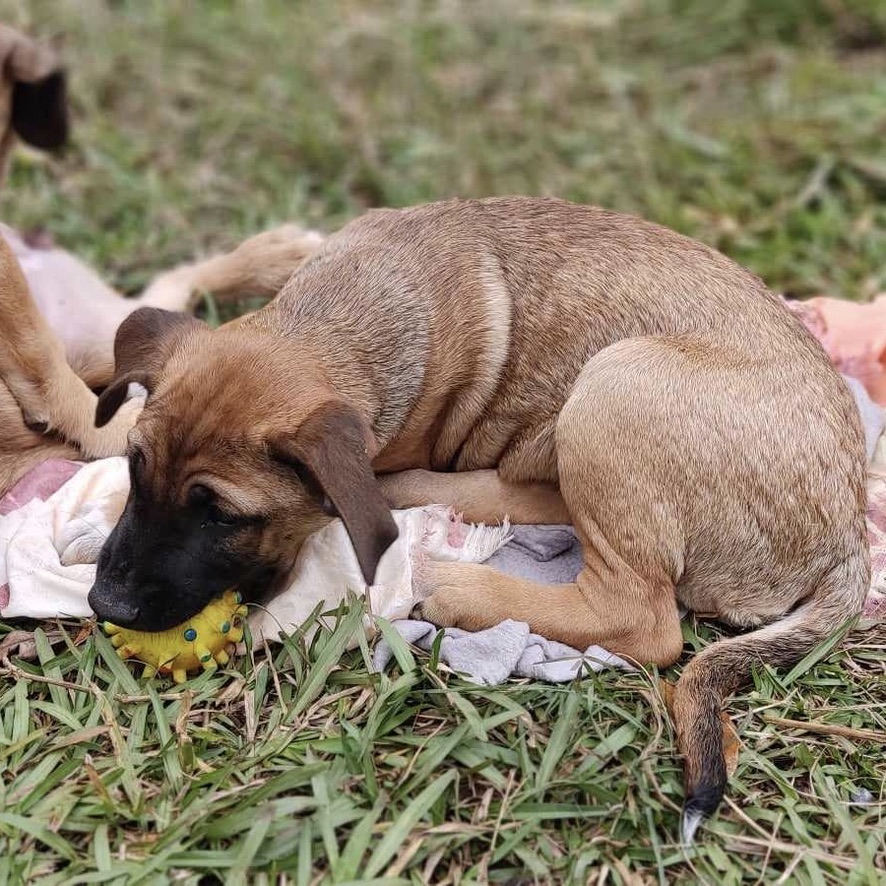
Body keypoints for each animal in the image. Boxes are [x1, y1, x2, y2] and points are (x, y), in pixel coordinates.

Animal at [93, 199, 872, 840]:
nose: (106, 605)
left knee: (642, 620)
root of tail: (848, 535)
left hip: (616, 383)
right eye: (137, 469)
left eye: (225, 517)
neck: (340, 317)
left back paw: (452, 578)